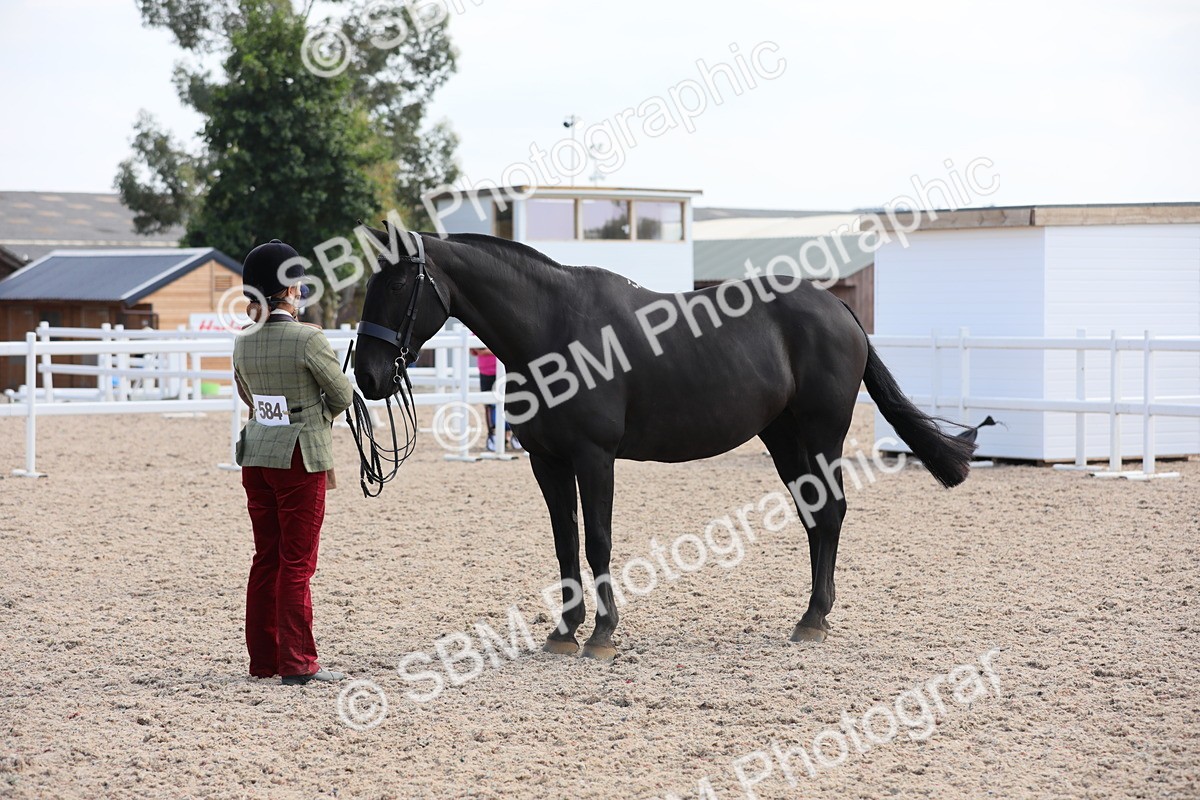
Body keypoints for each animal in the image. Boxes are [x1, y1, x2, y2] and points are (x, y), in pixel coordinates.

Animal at [352, 222, 975, 661]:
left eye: (399, 284)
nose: (368, 376)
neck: (554, 330)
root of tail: (840, 308)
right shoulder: (548, 462)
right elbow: (564, 543)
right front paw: (565, 630)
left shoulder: (594, 458)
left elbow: (598, 541)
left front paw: (602, 633)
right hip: (783, 438)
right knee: (815, 515)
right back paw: (809, 617)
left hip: (822, 433)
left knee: (833, 511)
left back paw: (815, 618)